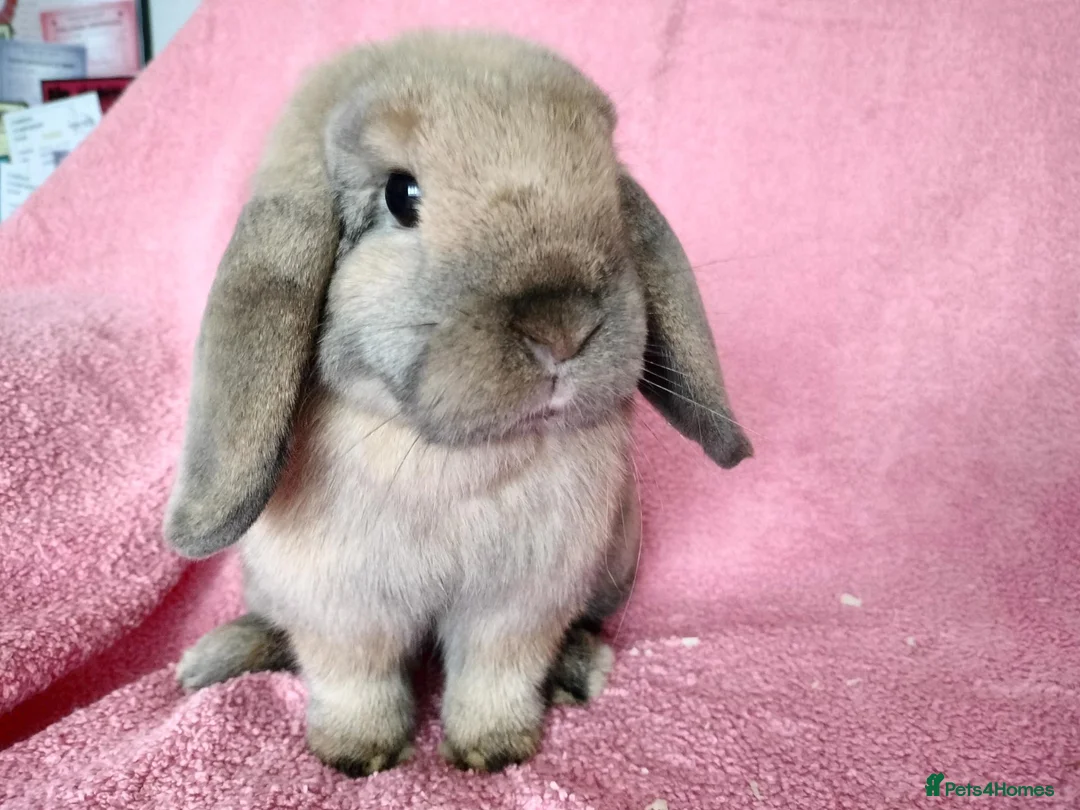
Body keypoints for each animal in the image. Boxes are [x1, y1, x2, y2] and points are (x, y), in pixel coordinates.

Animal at [164, 29, 752, 777]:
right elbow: (354, 680)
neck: (450, 456)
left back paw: (580, 670)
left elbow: (494, 675)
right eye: (401, 195)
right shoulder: (343, 612)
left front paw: (493, 753)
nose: (562, 328)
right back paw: (210, 660)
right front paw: (356, 756)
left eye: (607, 188)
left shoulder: (518, 606)